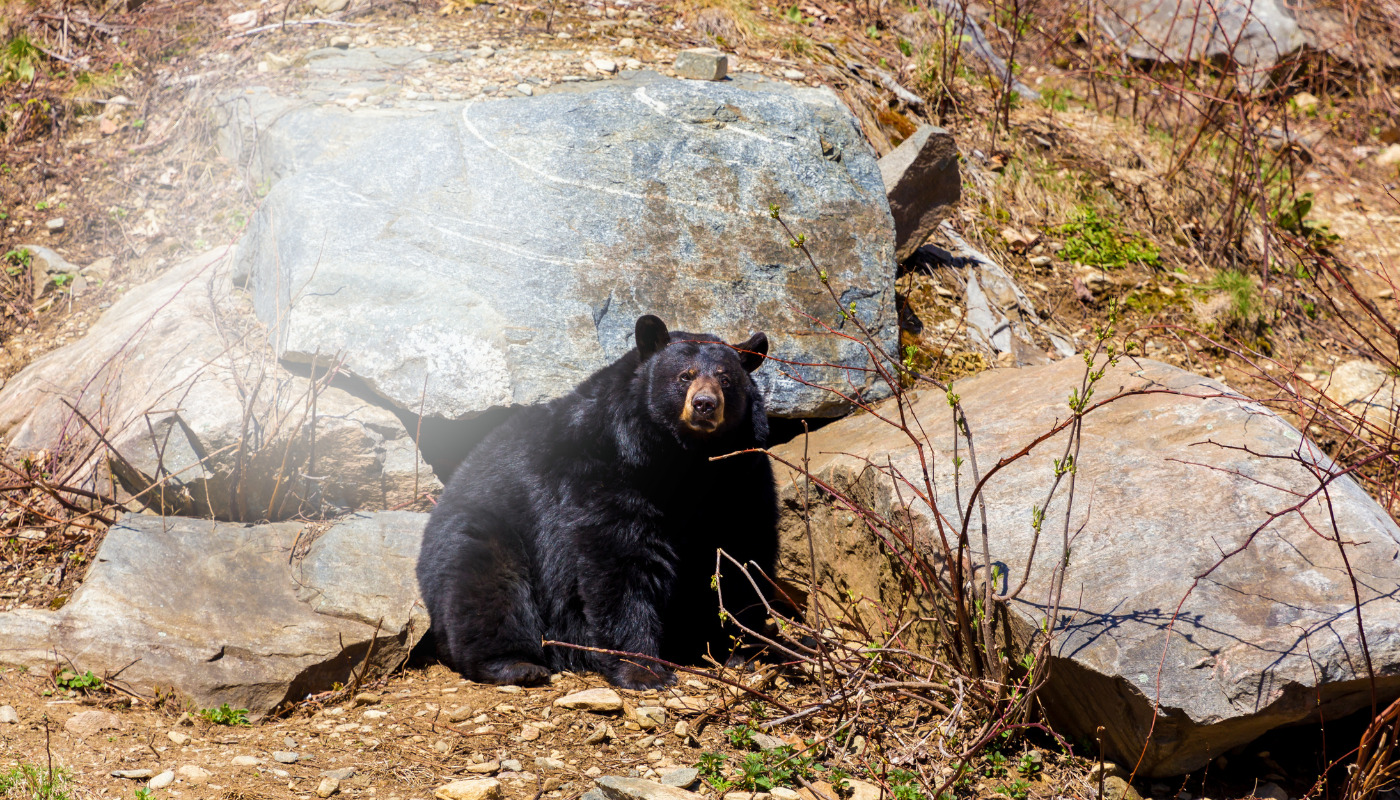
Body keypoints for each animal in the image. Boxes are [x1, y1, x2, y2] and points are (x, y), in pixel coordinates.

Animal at [420, 312, 784, 689]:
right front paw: (644, 669)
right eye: (685, 375)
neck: (685, 461)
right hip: (484, 531)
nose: (705, 405)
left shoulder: (740, 476)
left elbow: (741, 549)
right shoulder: (604, 469)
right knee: (487, 583)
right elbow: (619, 558)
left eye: (726, 379)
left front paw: (739, 649)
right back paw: (515, 664)